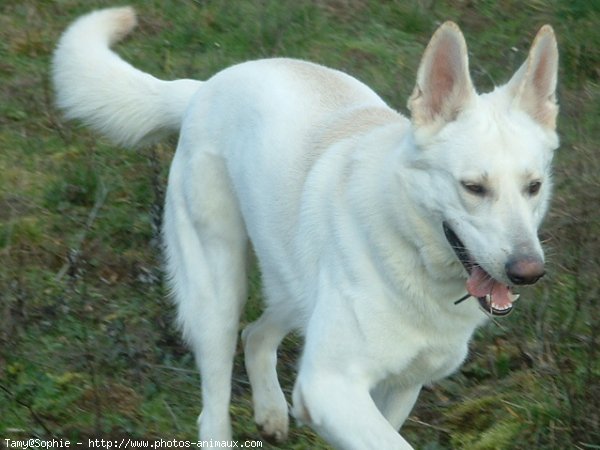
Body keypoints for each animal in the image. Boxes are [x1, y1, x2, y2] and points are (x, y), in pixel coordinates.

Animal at [54, 7, 560, 450]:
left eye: (533, 186)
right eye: (473, 187)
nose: (528, 272)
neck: (410, 247)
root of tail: (206, 85)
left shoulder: (400, 388)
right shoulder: (329, 387)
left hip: (294, 285)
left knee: (256, 335)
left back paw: (271, 413)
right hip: (218, 295)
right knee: (214, 403)